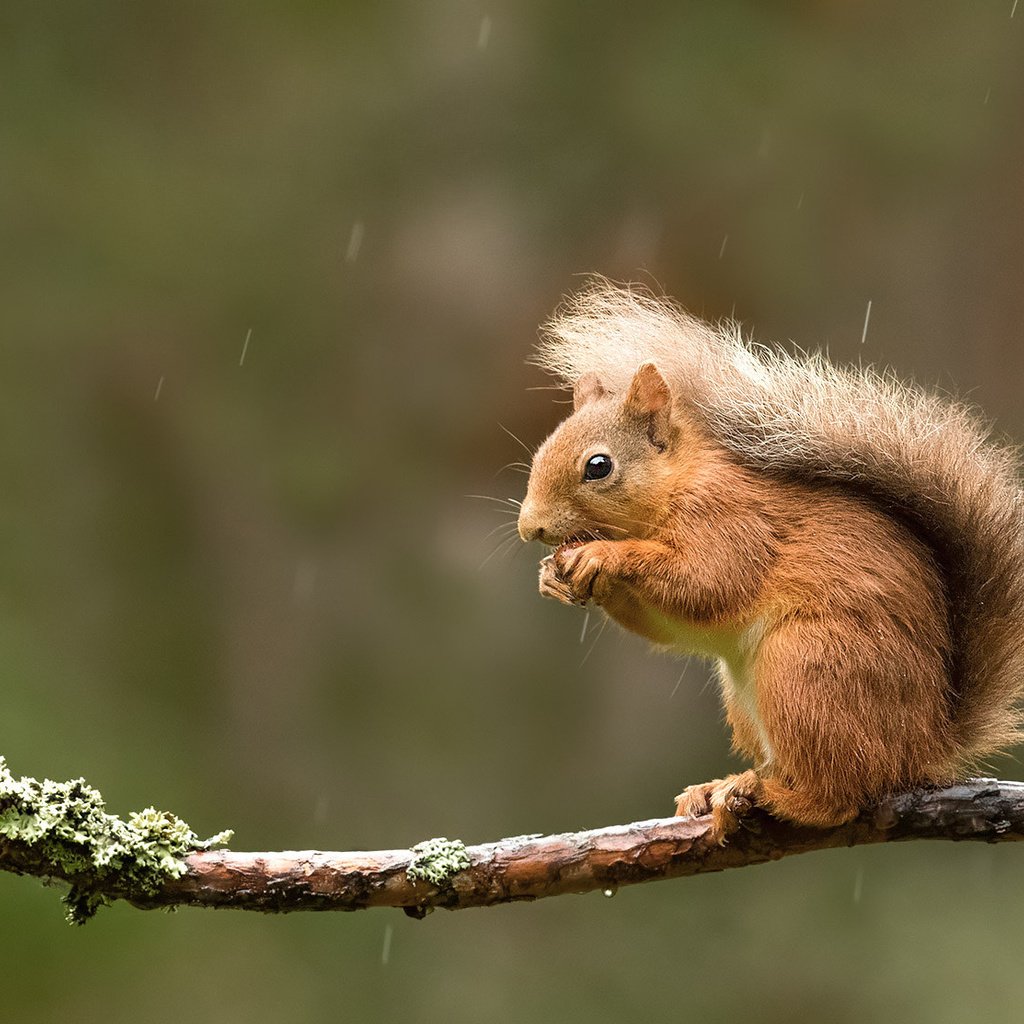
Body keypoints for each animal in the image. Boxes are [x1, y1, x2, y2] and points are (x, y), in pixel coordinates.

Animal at [516, 282, 1024, 839]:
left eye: (598, 466)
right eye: (542, 450)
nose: (529, 528)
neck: (677, 486)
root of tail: (923, 750)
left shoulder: (732, 522)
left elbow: (705, 584)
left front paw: (603, 554)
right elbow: (669, 625)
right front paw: (553, 577)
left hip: (805, 667)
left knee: (839, 796)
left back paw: (776, 796)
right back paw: (723, 787)